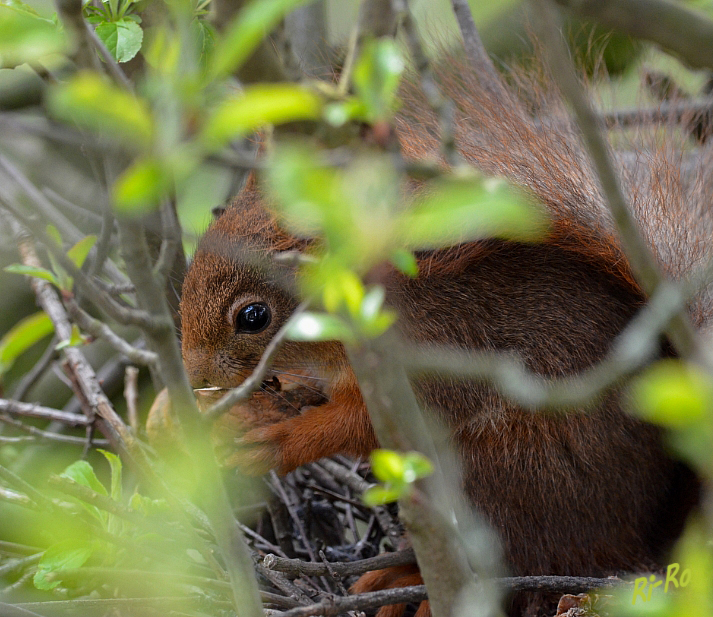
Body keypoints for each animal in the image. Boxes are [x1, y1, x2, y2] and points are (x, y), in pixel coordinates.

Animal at [177, 65, 700, 612]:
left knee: (517, 560)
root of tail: (640, 536)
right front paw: (265, 407)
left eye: (253, 316)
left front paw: (277, 443)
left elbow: (354, 426)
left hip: (508, 480)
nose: (193, 373)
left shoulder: (425, 371)